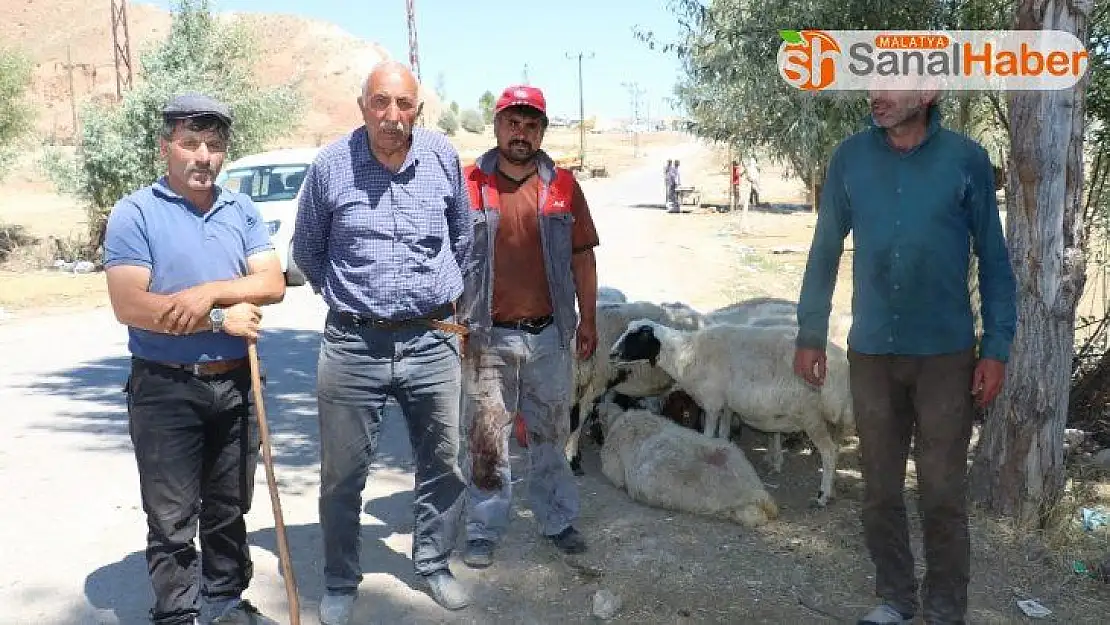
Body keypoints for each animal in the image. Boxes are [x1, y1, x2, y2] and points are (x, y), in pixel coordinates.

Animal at [612, 319, 852, 506]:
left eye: (640, 336)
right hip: (832, 417)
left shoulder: (711, 403)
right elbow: (724, 434)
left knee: (829, 452)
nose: (612, 354)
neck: (685, 355)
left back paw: (822, 496)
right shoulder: (726, 406)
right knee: (837, 447)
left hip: (811, 415)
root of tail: (843, 366)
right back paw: (831, 490)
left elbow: (708, 436)